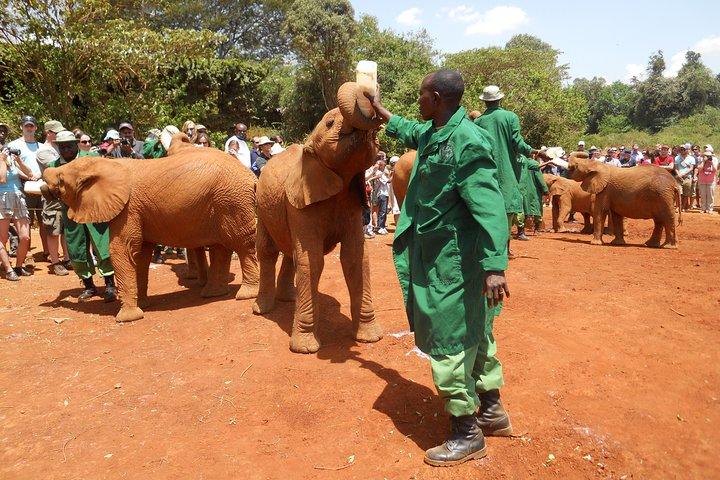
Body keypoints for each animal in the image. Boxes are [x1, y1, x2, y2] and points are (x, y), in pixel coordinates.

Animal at [41, 135, 260, 322]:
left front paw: (128, 318)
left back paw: (245, 294)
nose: (44, 182)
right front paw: (143, 305)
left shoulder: (128, 208)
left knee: (242, 243)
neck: (108, 164)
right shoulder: (137, 211)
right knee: (221, 247)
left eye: (61, 181)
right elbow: (140, 255)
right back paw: (212, 293)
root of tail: (251, 175)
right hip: (221, 202)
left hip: (232, 200)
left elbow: (123, 251)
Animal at [252, 81, 384, 353]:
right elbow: (311, 260)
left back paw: (288, 298)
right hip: (261, 205)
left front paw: (370, 338)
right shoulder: (300, 202)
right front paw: (305, 349)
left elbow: (355, 257)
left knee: (290, 251)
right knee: (267, 251)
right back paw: (263, 309)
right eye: (330, 123)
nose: (369, 95)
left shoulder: (353, 203)